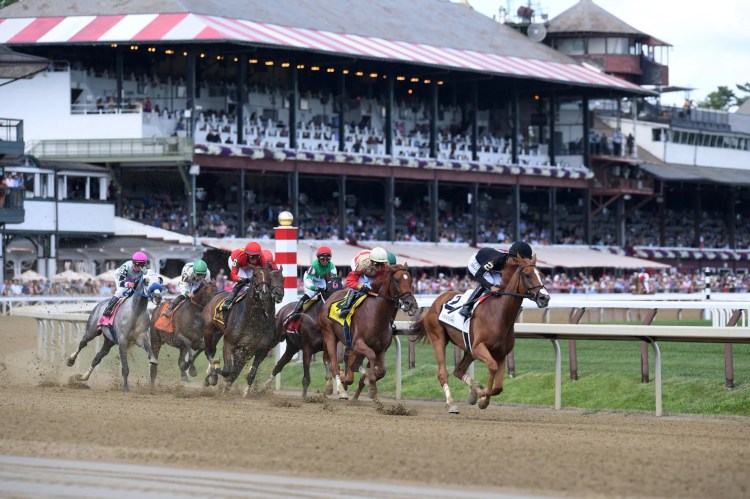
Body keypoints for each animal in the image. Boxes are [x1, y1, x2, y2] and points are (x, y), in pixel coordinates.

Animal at [200, 268, 284, 396]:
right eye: (255, 275)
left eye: (283, 279)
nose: (278, 293)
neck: (252, 319)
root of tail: (214, 297)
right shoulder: (229, 344)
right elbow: (227, 370)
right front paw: (219, 378)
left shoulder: (259, 350)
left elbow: (247, 374)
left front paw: (244, 393)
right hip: (208, 331)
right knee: (209, 352)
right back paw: (212, 375)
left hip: (219, 336)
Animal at [320, 266, 420, 402]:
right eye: (397, 280)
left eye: (411, 280)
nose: (411, 303)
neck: (377, 315)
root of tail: (330, 297)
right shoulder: (357, 343)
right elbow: (370, 357)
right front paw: (371, 386)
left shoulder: (381, 349)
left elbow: (381, 371)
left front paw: (368, 381)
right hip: (329, 335)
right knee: (334, 365)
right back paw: (341, 390)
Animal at [412, 254, 552, 414]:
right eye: (527, 275)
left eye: (541, 275)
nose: (545, 298)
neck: (498, 314)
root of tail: (435, 303)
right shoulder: (479, 347)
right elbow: (492, 367)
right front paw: (482, 397)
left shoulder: (500, 353)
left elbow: (498, 387)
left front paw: (479, 396)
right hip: (438, 338)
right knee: (443, 373)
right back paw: (452, 403)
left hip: (469, 349)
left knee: (458, 371)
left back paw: (473, 391)